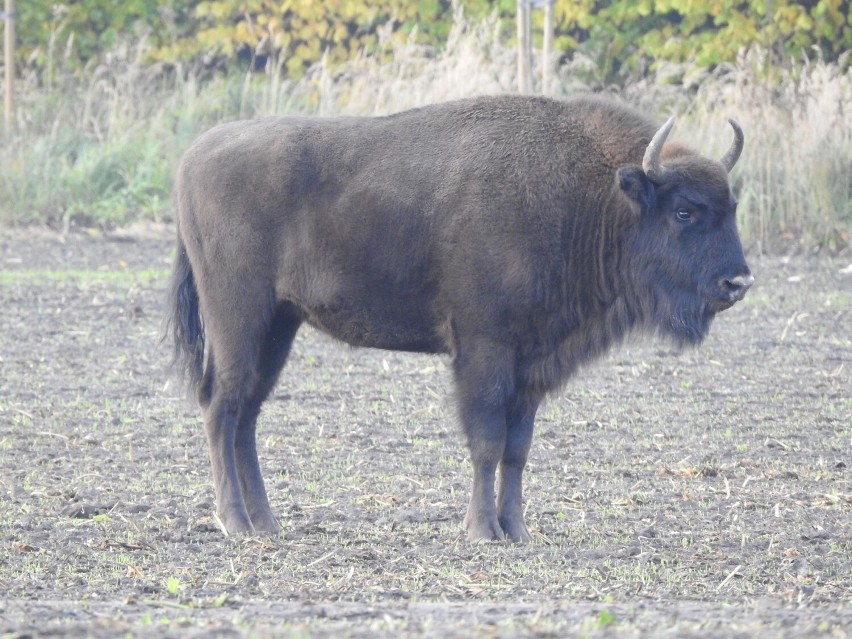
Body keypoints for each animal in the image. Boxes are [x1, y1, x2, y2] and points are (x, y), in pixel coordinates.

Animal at [166, 95, 752, 544]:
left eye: (733, 208)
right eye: (684, 211)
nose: (738, 282)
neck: (597, 198)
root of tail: (192, 157)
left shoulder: (531, 366)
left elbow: (517, 448)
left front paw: (518, 530)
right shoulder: (484, 351)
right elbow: (487, 441)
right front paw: (482, 531)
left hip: (278, 326)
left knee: (246, 414)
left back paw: (266, 522)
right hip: (239, 317)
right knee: (221, 406)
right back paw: (236, 523)